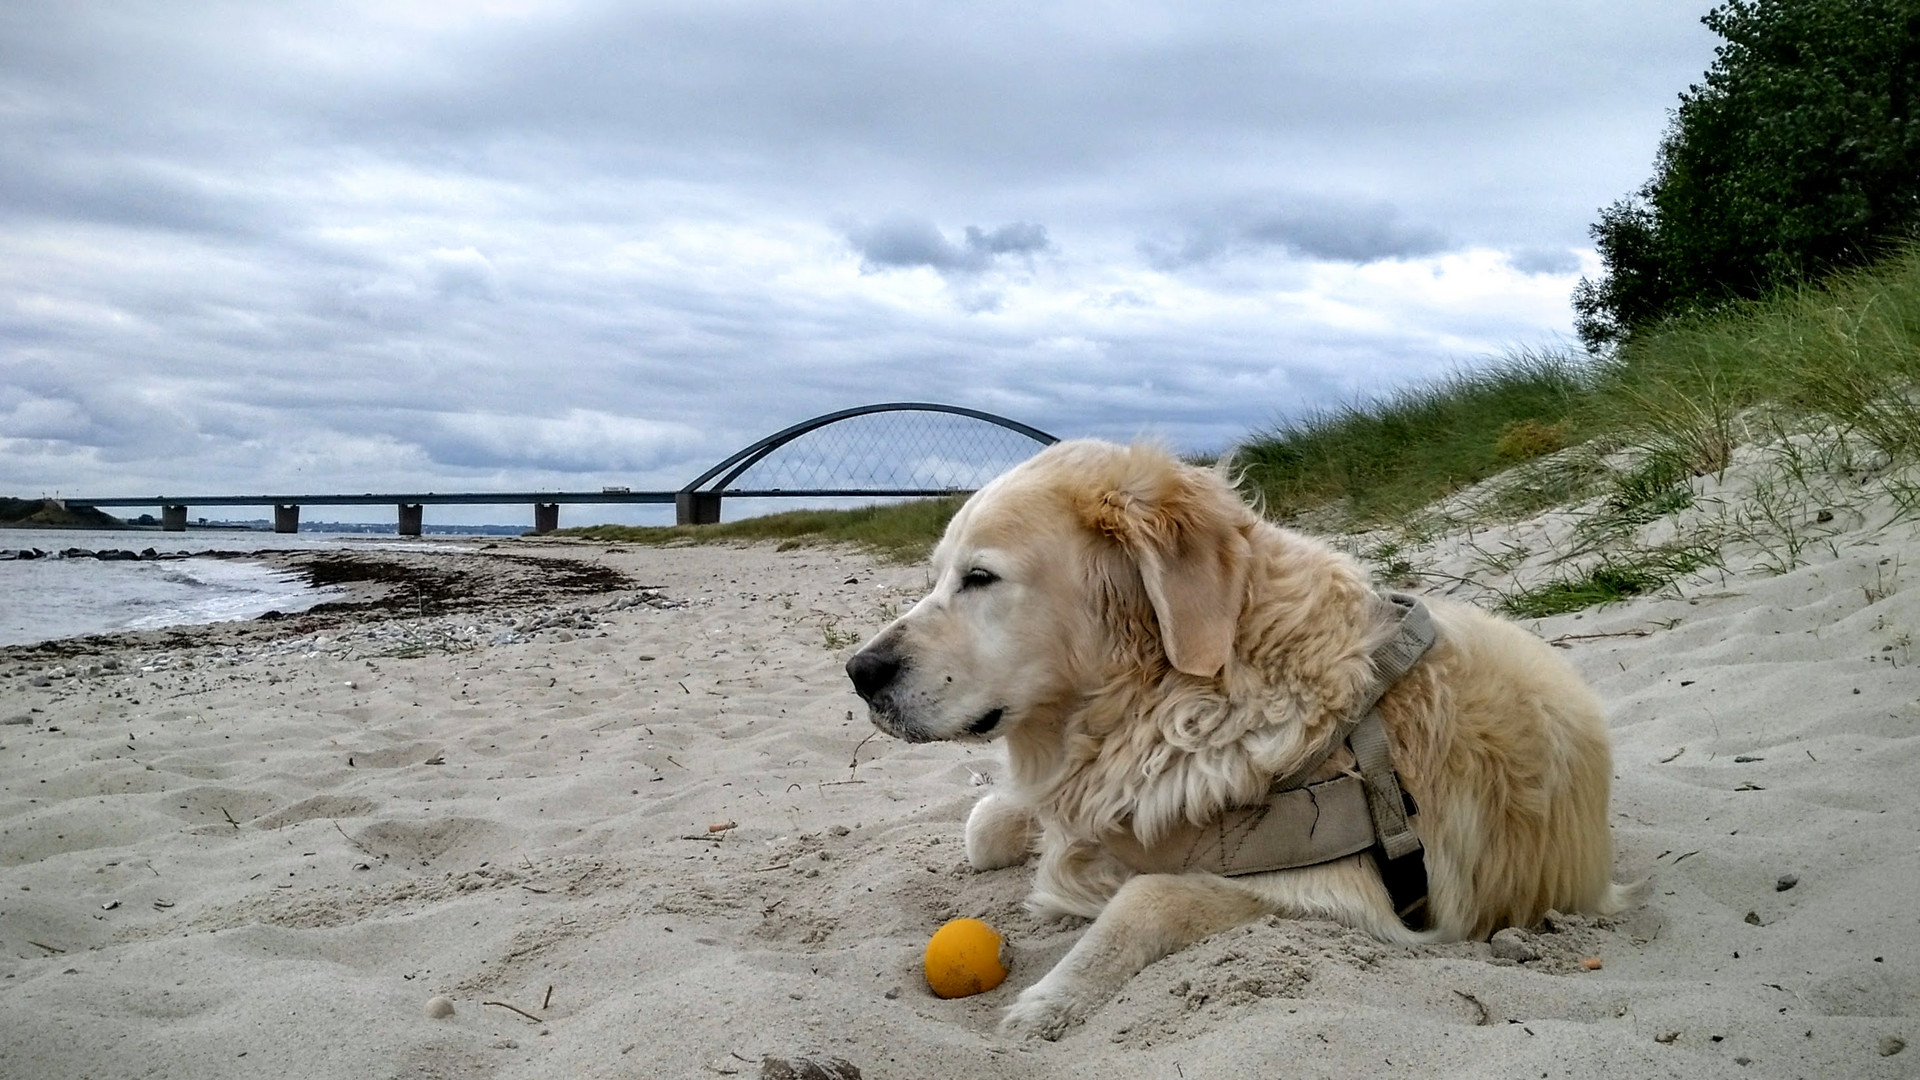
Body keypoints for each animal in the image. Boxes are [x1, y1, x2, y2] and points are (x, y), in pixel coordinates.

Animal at [848, 438, 1628, 1037]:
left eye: (980, 577)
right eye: (937, 577)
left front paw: (1049, 1000)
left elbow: (1148, 897)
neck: (1178, 696)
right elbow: (987, 827)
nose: (859, 672)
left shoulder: (1339, 897)